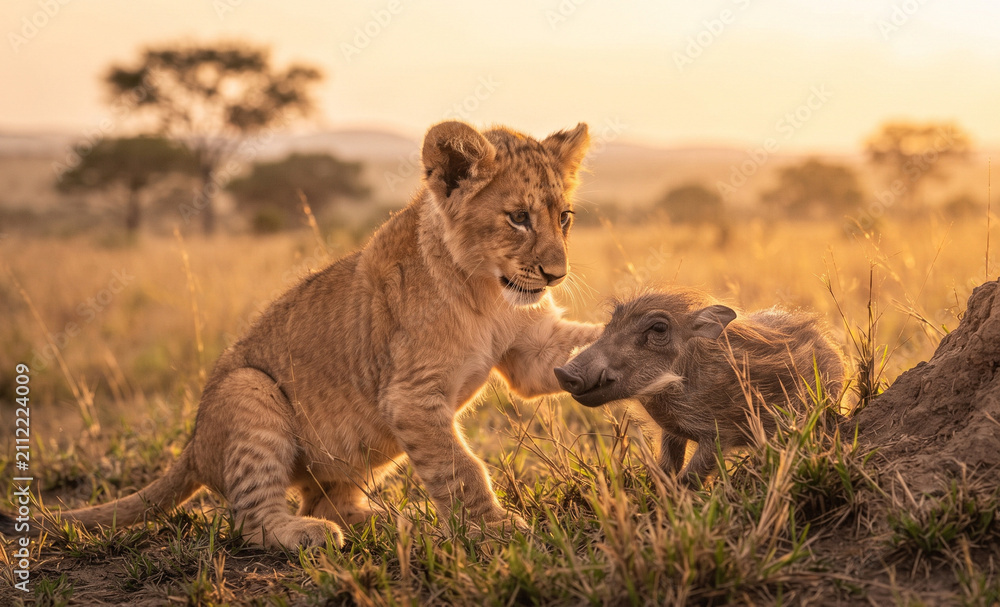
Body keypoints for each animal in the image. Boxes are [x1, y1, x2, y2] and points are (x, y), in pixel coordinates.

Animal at [2, 121, 602, 549]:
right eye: (518, 217)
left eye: (564, 217)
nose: (556, 275)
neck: (487, 292)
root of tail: (192, 446)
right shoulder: (410, 396)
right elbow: (461, 469)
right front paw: (495, 529)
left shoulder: (529, 350)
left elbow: (573, 348)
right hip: (248, 390)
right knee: (255, 520)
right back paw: (314, 535)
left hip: (364, 444)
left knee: (325, 500)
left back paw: (391, 520)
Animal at [554, 288, 845, 485]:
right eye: (612, 321)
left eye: (658, 328)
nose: (562, 372)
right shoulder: (671, 431)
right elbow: (665, 471)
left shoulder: (719, 434)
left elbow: (688, 478)